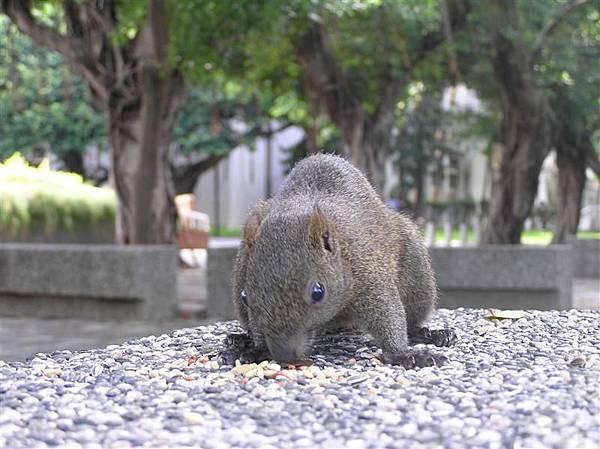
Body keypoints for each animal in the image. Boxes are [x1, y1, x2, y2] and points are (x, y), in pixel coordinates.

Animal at [227, 154, 458, 368]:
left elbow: (387, 314)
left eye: (318, 292)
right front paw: (259, 349)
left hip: (418, 277)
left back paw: (430, 334)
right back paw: (241, 339)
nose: (284, 355)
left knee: (412, 318)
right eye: (245, 297)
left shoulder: (369, 276)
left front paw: (403, 353)